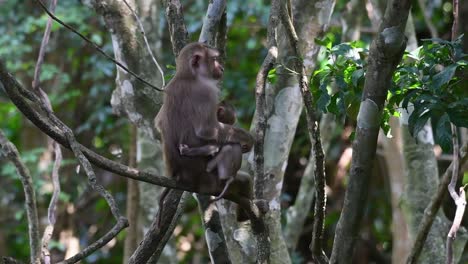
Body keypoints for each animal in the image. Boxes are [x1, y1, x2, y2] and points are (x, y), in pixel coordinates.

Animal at [155, 43, 254, 225]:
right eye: (214, 59)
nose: (221, 68)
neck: (187, 75)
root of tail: (181, 176)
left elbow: (158, 123)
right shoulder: (207, 91)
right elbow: (207, 130)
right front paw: (247, 138)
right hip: (209, 179)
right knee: (232, 150)